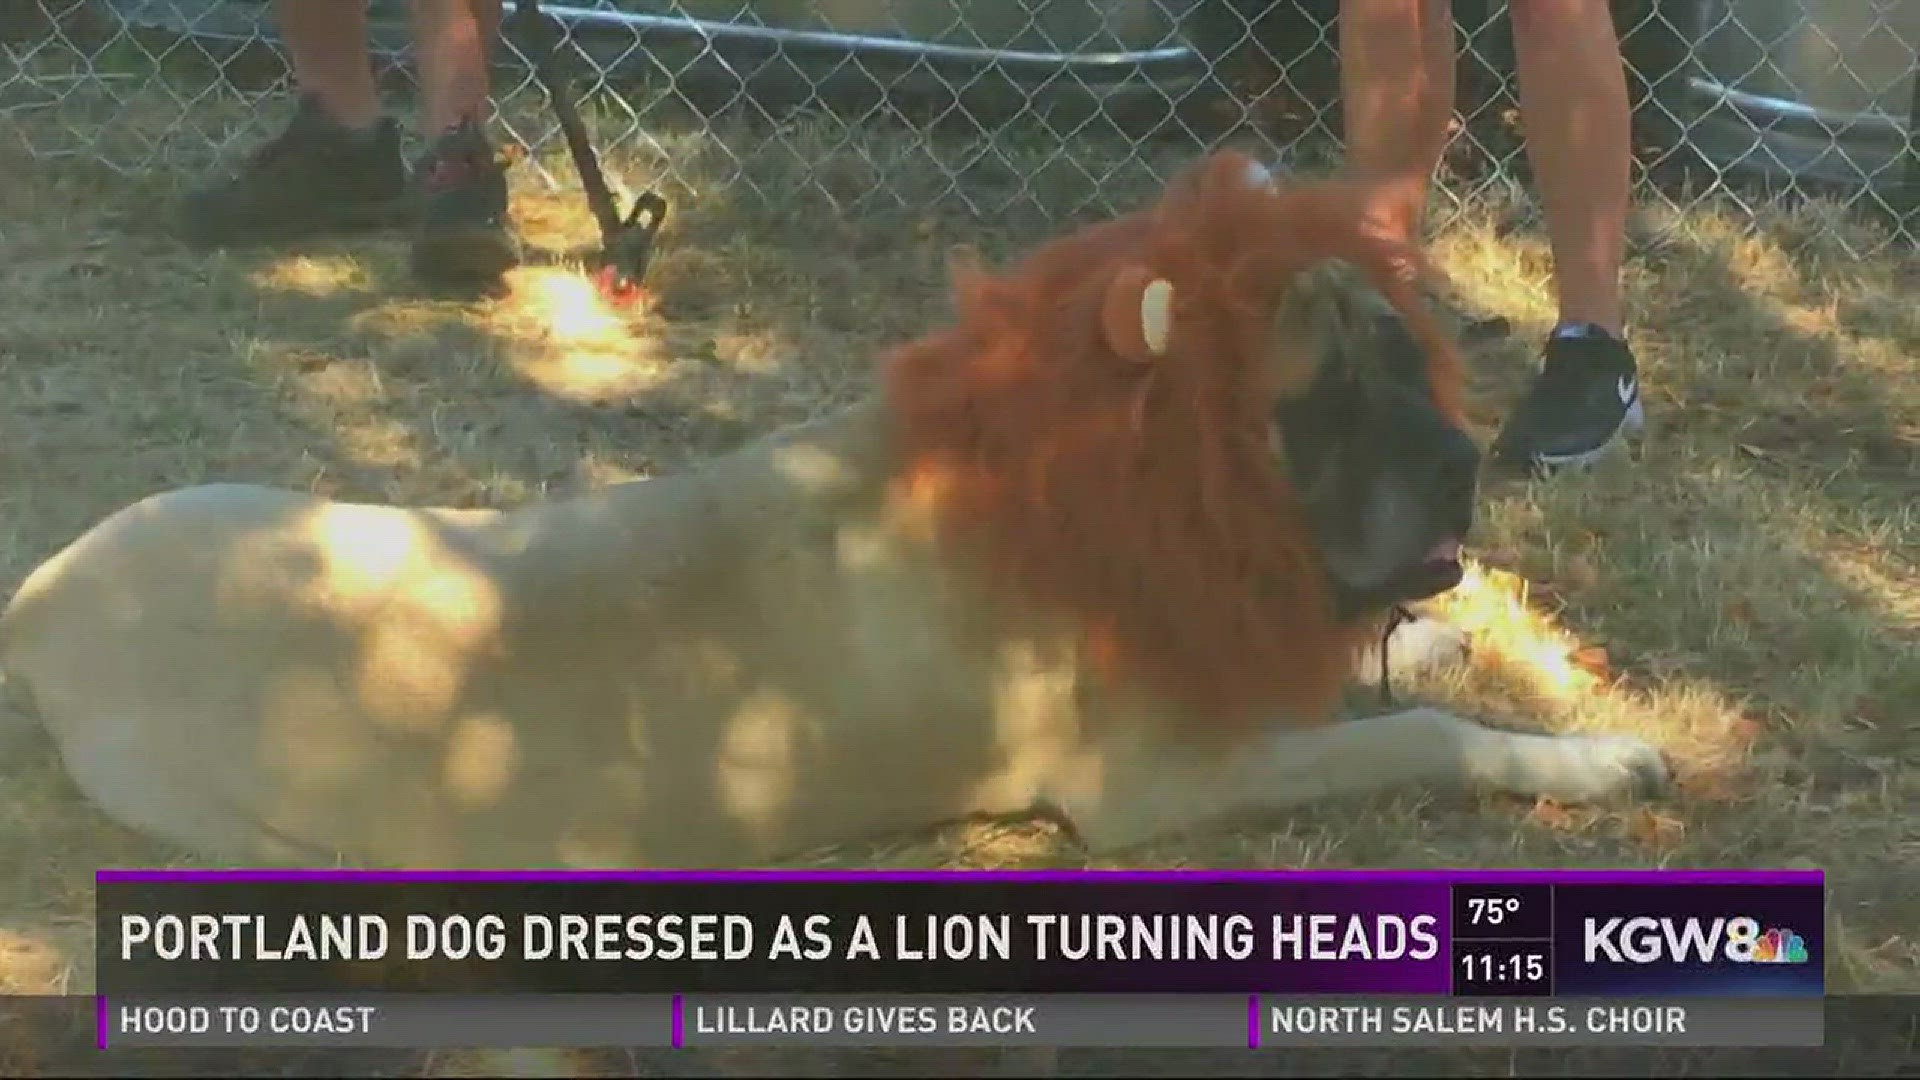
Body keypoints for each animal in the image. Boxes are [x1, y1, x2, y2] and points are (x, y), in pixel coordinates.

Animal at [0, 148, 1666, 864]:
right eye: (1321, 403)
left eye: (1407, 349)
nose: (1464, 462)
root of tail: (42, 599)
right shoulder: (1160, 781)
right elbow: (1422, 728)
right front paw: (1592, 758)